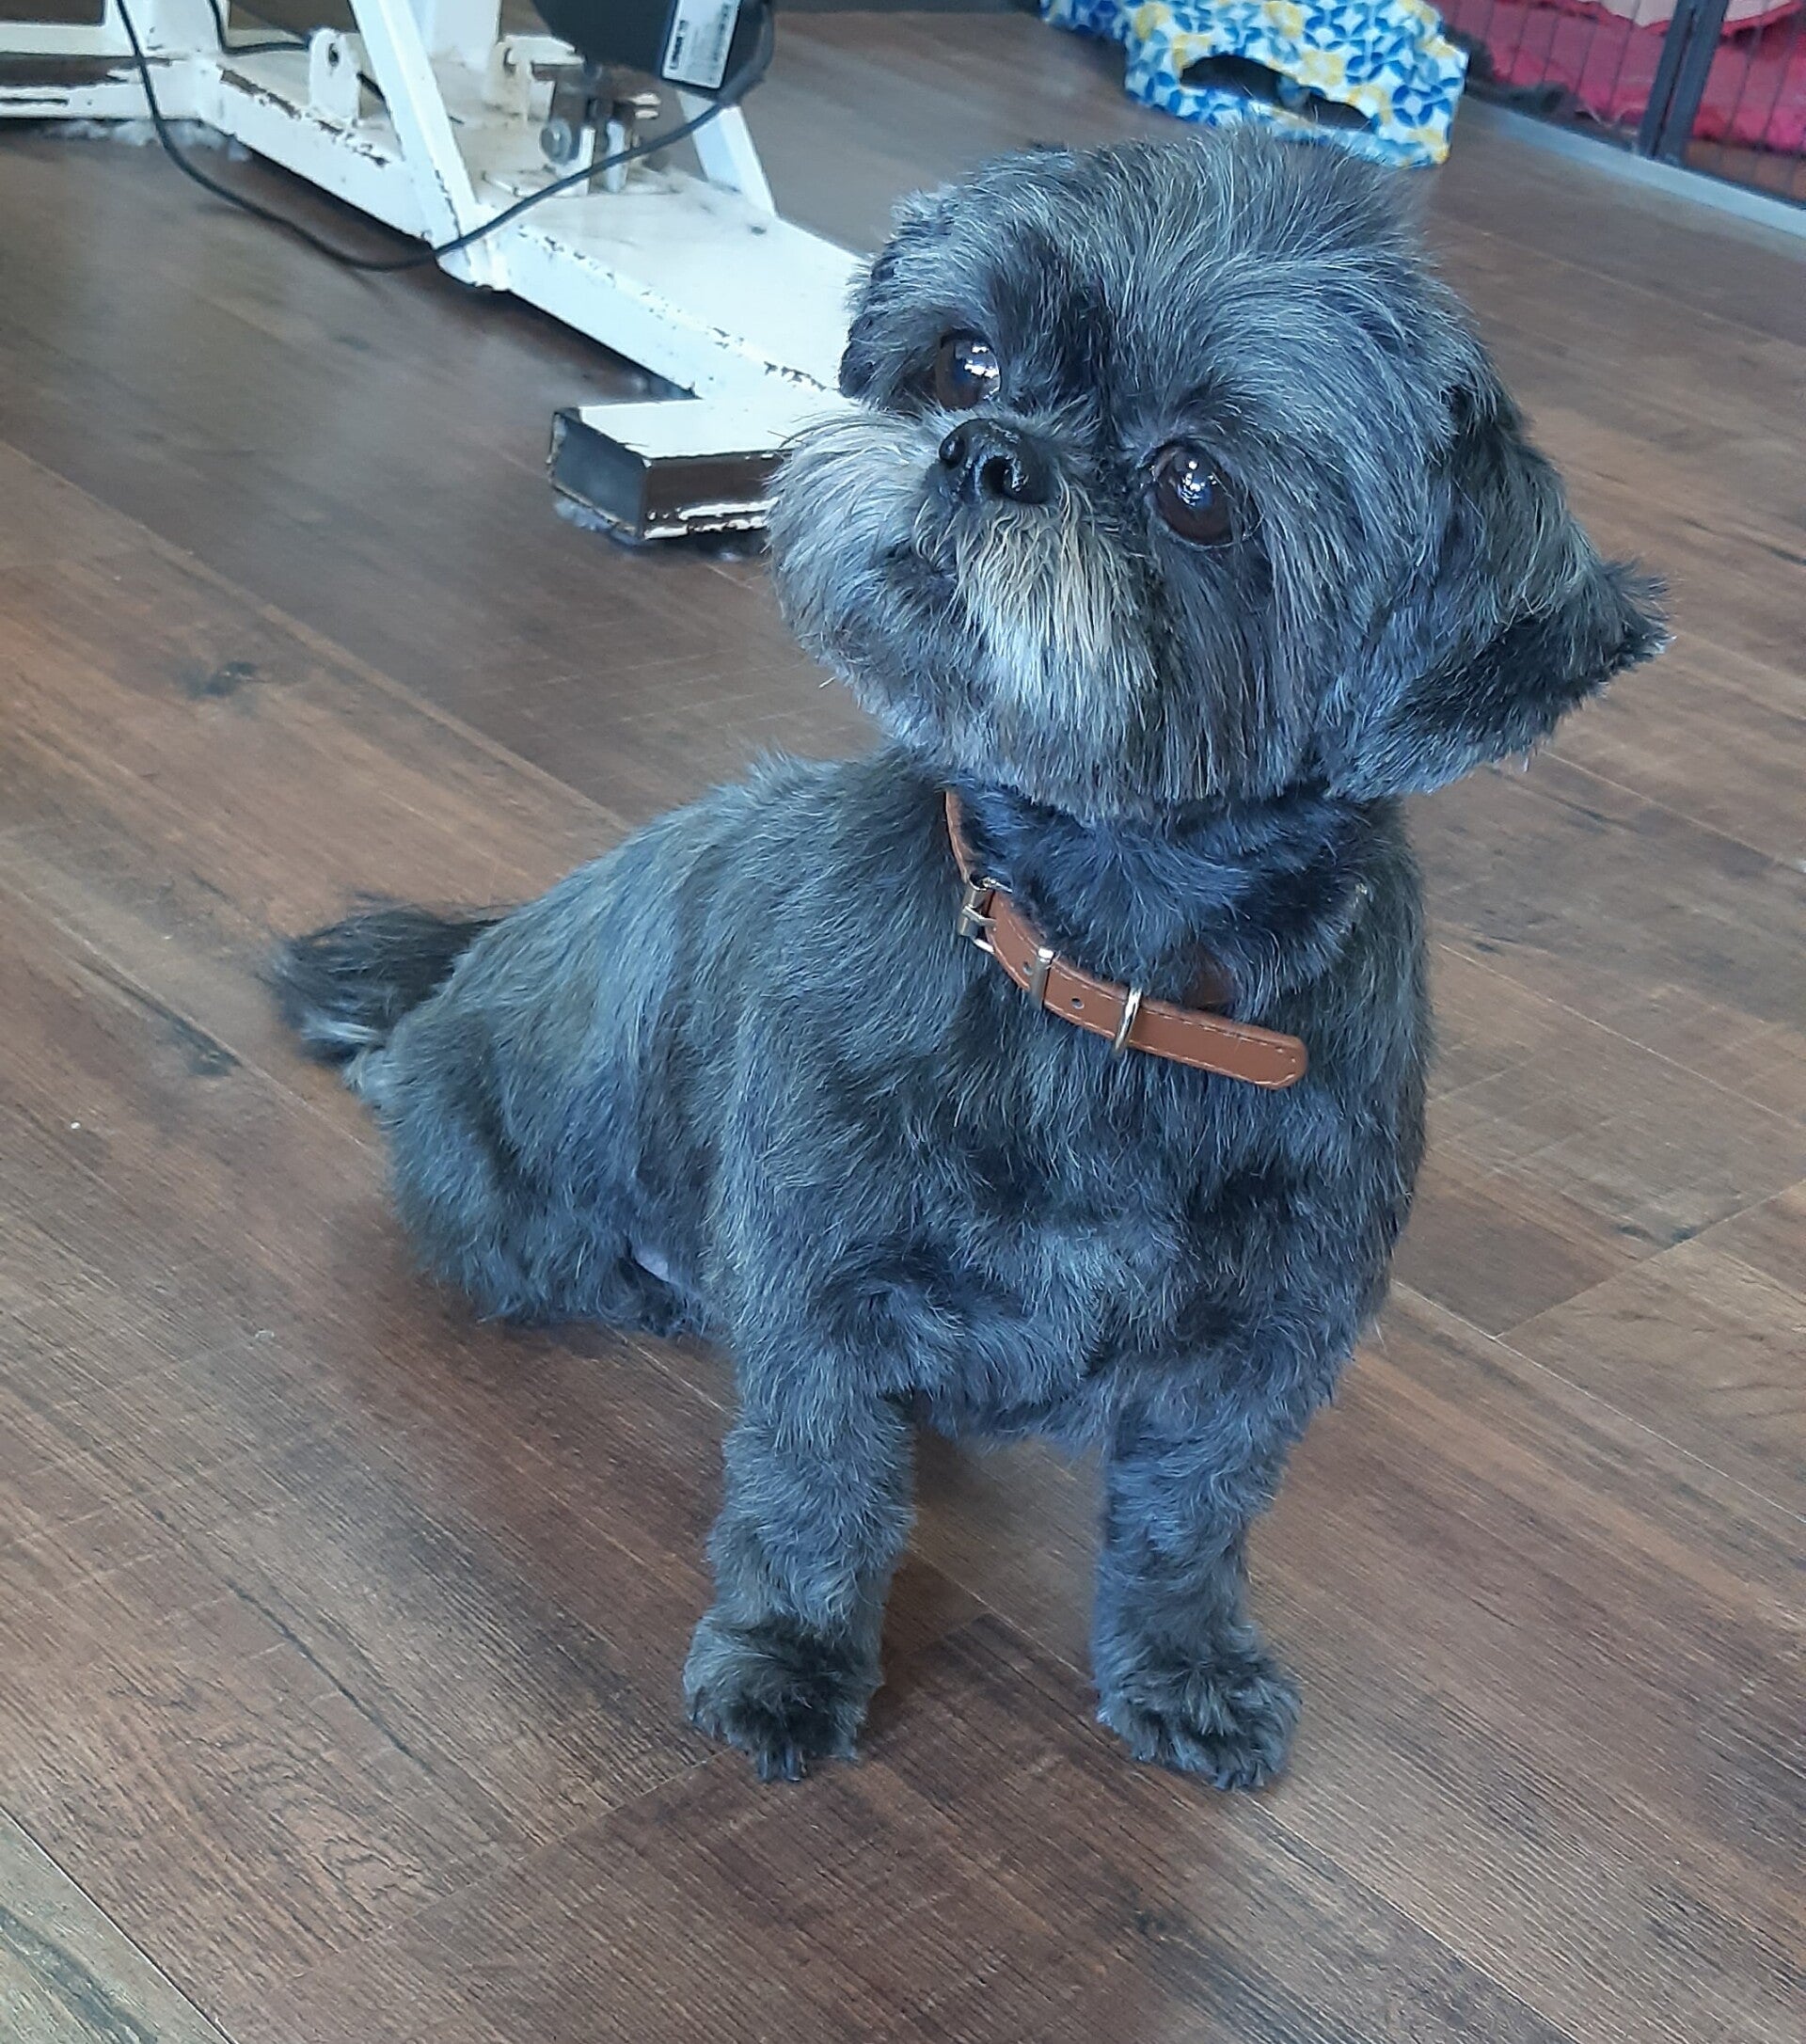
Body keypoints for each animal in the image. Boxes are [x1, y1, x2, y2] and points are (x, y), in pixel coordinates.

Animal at [273, 131, 1663, 1789]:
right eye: (967, 358)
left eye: (1198, 487)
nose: (983, 450)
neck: (1096, 971)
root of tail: (468, 967)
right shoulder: (821, 1292)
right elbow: (815, 1492)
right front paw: (789, 1660)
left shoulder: (1261, 1352)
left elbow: (1190, 1527)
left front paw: (1186, 1667)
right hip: (512, 1209)